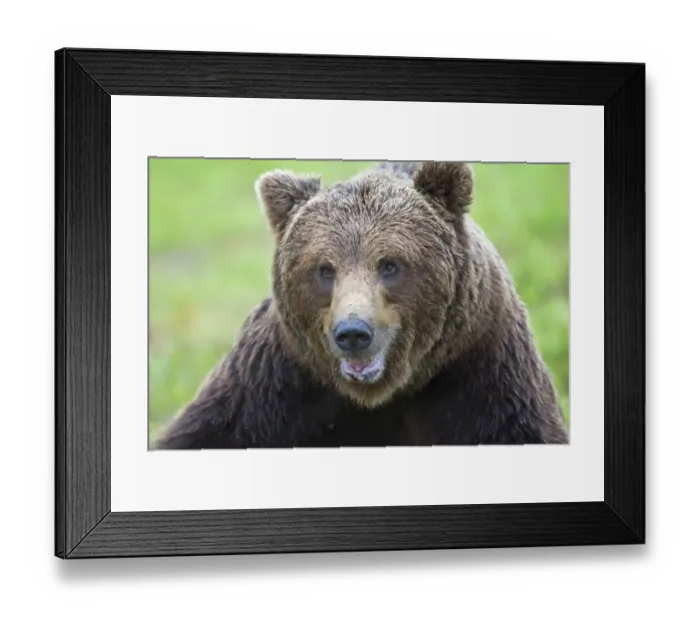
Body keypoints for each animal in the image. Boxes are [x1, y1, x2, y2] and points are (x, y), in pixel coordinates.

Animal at [153, 161, 569, 449]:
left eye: (390, 264)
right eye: (324, 269)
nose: (353, 333)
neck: (383, 392)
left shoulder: (482, 371)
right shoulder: (275, 383)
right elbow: (206, 433)